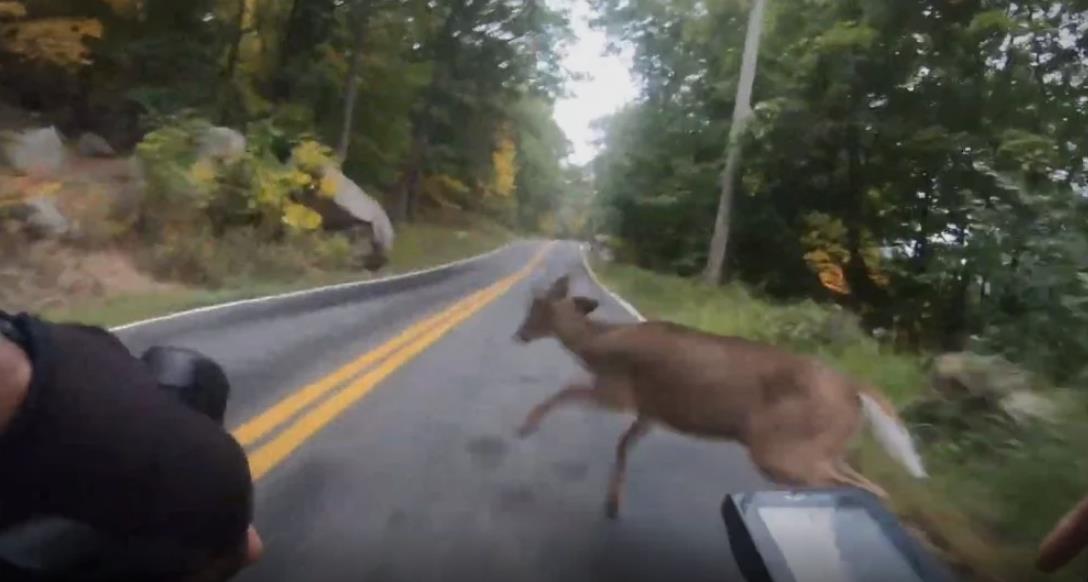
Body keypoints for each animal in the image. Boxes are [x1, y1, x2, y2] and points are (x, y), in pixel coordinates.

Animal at [513, 274, 922, 519]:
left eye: (535, 308)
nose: (519, 334)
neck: (597, 345)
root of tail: (856, 390)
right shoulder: (651, 411)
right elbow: (623, 445)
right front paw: (612, 504)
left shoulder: (618, 390)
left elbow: (566, 392)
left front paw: (526, 426)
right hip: (826, 449)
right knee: (873, 488)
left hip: (780, 448)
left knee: (841, 486)